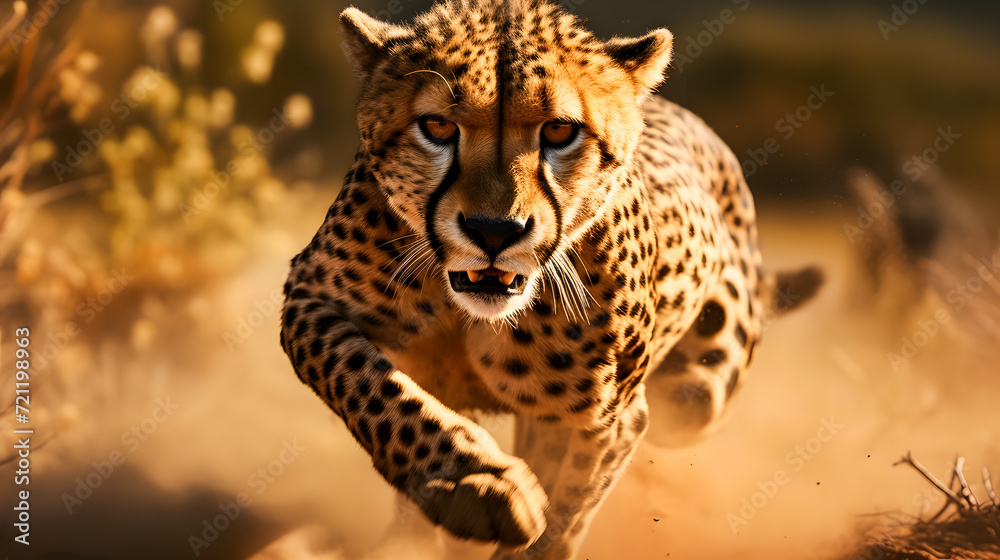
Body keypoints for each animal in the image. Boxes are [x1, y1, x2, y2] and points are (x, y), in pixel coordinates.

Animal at [279, 1, 822, 558]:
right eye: (437, 126)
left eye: (560, 131)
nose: (494, 231)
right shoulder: (309, 296)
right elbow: (367, 382)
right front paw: (471, 485)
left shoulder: (602, 418)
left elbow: (564, 516)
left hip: (693, 399)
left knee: (688, 399)